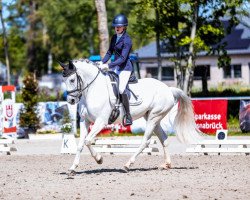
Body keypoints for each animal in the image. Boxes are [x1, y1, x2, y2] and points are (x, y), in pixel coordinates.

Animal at [59, 58, 204, 173]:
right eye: (64, 80)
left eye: (72, 80)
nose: (71, 100)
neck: (93, 90)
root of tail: (168, 89)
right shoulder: (85, 121)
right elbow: (80, 144)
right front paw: (73, 168)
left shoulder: (101, 121)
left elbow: (88, 141)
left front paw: (99, 159)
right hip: (152, 118)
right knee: (164, 138)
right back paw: (166, 165)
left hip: (154, 117)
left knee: (145, 141)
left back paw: (128, 165)